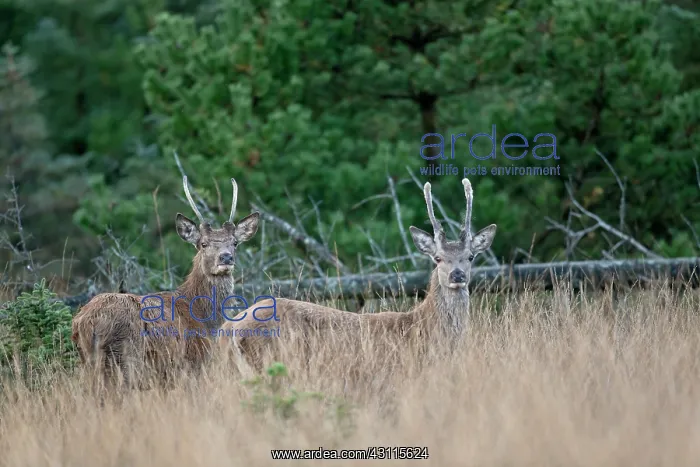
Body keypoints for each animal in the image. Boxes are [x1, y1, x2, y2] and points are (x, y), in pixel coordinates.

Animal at [71, 175, 260, 390]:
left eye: (235, 243)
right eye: (203, 244)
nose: (226, 257)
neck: (204, 319)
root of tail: (84, 322)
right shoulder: (192, 361)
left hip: (88, 361)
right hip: (124, 356)